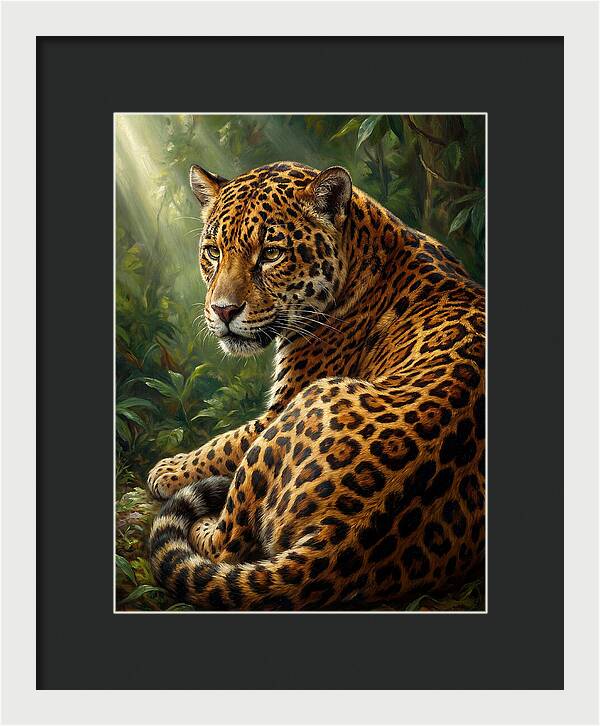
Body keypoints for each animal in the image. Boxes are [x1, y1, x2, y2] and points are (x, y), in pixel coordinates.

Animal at [147, 160, 485, 610]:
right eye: (214, 251)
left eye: (271, 253)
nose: (223, 310)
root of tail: (340, 540)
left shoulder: (281, 405)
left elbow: (224, 443)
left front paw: (168, 470)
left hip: (304, 404)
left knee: (226, 544)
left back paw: (203, 522)